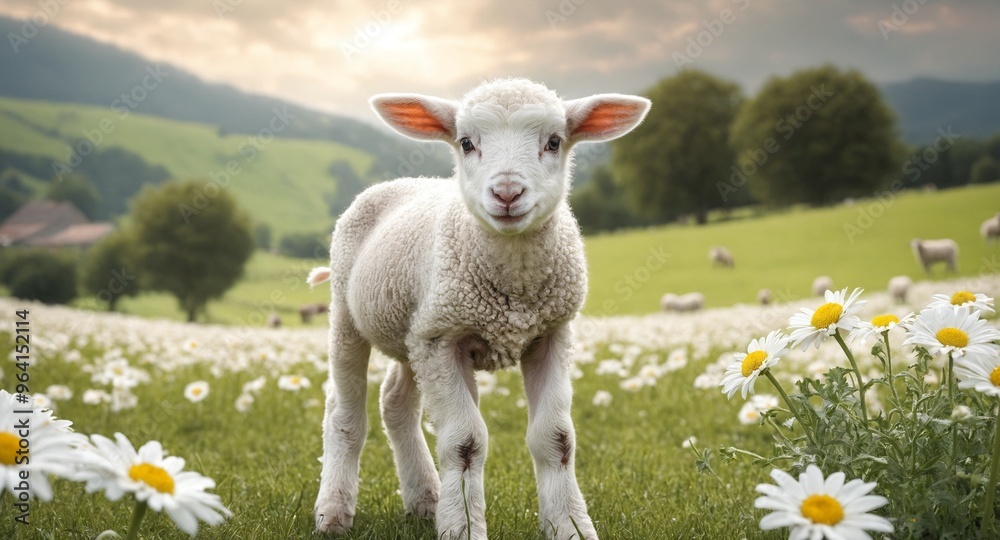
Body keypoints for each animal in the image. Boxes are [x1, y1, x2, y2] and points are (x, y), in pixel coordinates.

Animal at [312, 78, 650, 540]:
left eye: (554, 142)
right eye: (466, 143)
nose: (507, 193)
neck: (515, 293)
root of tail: (403, 181)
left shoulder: (550, 334)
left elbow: (556, 438)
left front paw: (570, 525)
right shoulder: (443, 341)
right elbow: (464, 442)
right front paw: (464, 527)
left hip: (413, 329)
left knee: (395, 402)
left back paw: (426, 499)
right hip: (352, 317)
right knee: (344, 412)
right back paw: (333, 511)